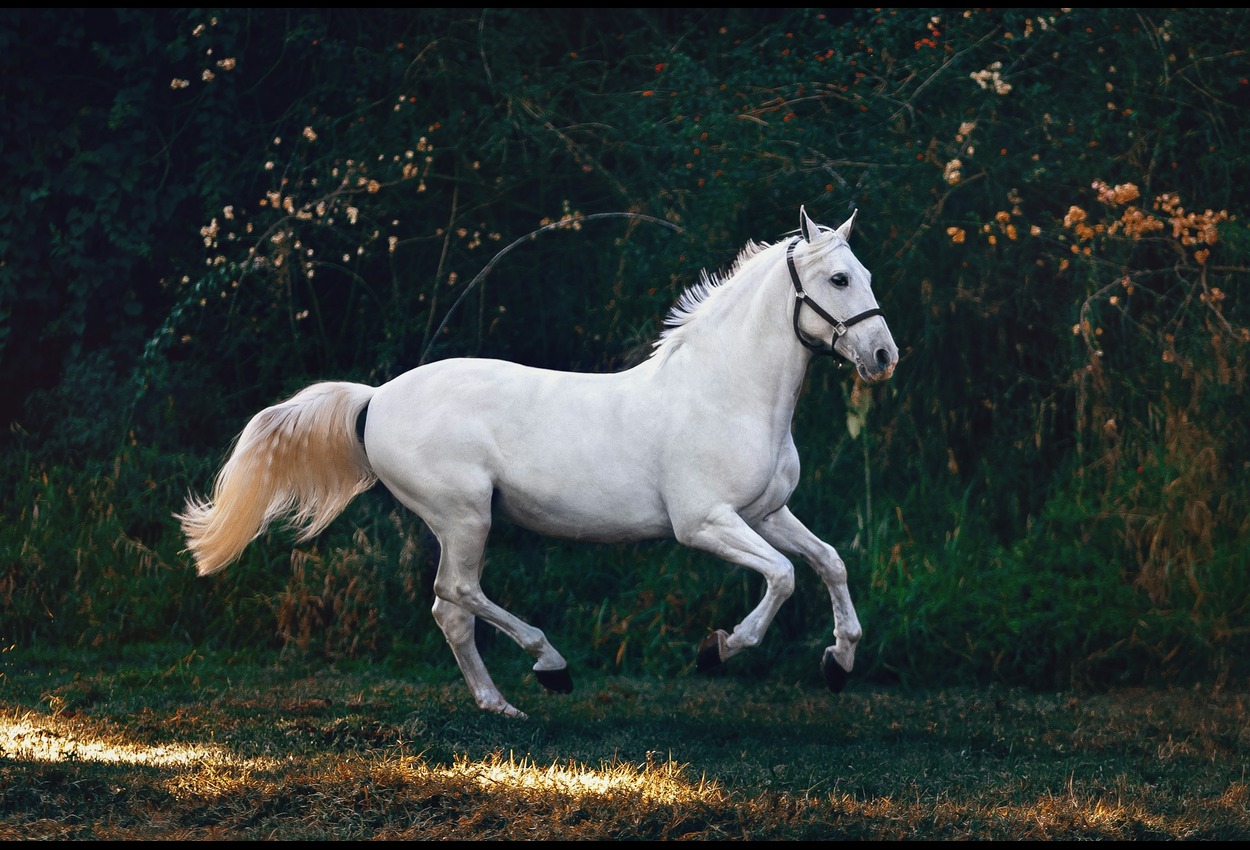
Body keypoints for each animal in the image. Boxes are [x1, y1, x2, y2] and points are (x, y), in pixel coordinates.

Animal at [178, 206, 899, 719]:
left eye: (867, 276)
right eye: (839, 279)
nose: (884, 356)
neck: (727, 393)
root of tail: (375, 398)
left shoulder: (767, 512)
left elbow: (828, 562)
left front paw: (839, 662)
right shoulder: (705, 523)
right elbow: (782, 577)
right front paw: (719, 649)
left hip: (461, 522)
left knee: (449, 610)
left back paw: (500, 704)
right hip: (465, 516)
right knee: (457, 594)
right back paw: (549, 666)